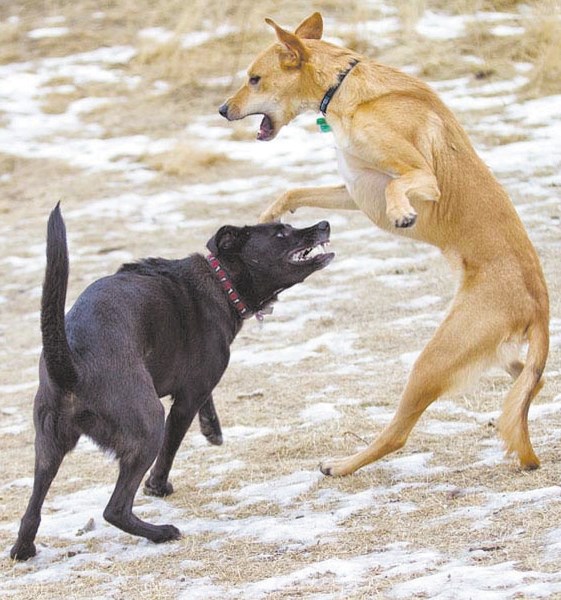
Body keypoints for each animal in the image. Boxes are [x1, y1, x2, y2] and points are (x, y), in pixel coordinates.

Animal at [9, 204, 332, 560]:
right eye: (281, 233)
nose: (324, 224)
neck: (221, 280)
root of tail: (70, 366)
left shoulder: (197, 383)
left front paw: (211, 428)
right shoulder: (188, 398)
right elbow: (172, 445)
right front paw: (158, 486)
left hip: (48, 445)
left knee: (32, 509)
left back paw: (23, 548)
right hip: (148, 423)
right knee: (115, 508)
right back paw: (161, 532)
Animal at [218, 11, 548, 476]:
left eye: (254, 79)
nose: (222, 109)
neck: (343, 88)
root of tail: (539, 305)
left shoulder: (422, 177)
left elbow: (401, 186)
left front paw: (401, 213)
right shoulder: (354, 190)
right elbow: (296, 191)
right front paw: (268, 216)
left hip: (432, 360)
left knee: (397, 434)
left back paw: (342, 465)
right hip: (483, 355)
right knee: (529, 381)